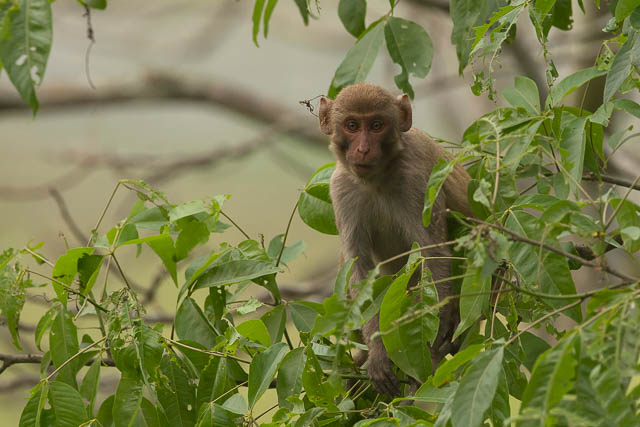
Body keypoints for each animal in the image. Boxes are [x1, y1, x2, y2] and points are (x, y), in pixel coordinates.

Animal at [318, 83, 473, 397]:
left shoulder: (416, 182)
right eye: (352, 126)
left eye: (377, 125)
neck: (377, 179)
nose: (363, 149)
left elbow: (431, 254)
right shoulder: (341, 189)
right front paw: (378, 355)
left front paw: (431, 341)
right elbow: (360, 269)